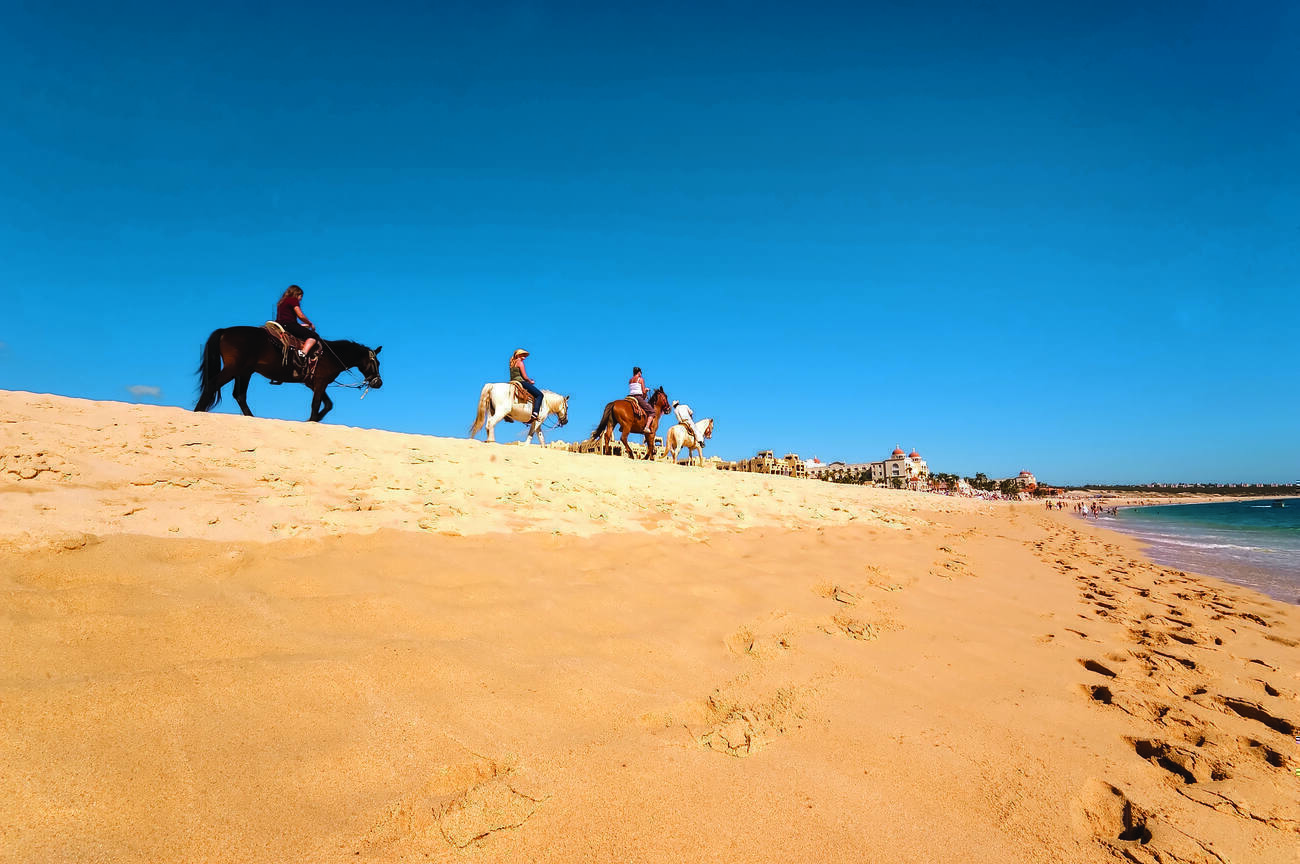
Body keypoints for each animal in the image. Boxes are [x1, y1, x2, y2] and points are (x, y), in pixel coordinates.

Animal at [192, 324, 382, 423]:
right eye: (376, 362)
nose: (378, 383)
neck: (331, 354)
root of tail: (224, 331)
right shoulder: (320, 382)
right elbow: (317, 404)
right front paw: (312, 420)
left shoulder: (313, 383)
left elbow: (328, 404)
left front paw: (314, 419)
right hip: (234, 369)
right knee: (213, 384)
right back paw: (198, 411)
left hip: (244, 372)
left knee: (239, 395)